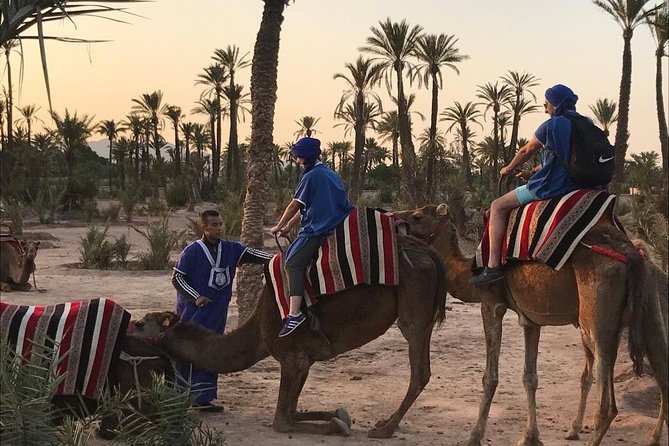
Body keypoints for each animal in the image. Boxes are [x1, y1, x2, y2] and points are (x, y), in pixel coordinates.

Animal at [133, 235, 446, 438]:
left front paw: (336, 426)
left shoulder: (291, 357)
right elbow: (295, 410)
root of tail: (430, 254)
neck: (259, 331)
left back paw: (385, 429)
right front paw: (338, 414)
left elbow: (282, 421)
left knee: (418, 366)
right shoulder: (304, 359)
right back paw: (386, 422)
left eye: (140, 324)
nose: (129, 323)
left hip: (413, 303)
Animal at [392, 205, 668, 446]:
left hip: (597, 314)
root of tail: (632, 253)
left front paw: (474, 436)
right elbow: (530, 377)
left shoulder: (491, 303)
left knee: (606, 404)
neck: (469, 272)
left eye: (417, 216)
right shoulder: (530, 319)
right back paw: (652, 438)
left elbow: (490, 377)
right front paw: (530, 437)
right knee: (661, 370)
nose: (395, 220)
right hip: (649, 309)